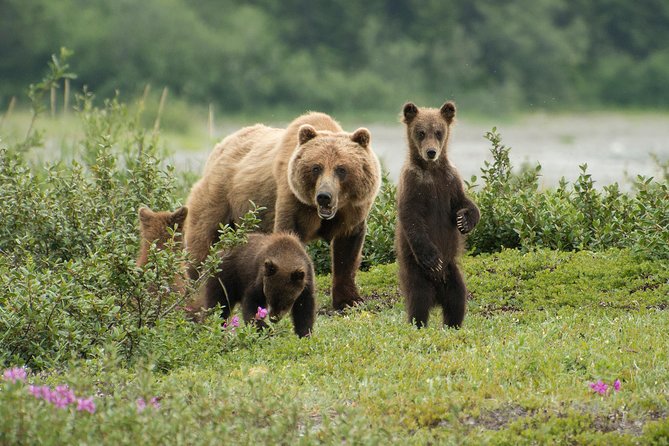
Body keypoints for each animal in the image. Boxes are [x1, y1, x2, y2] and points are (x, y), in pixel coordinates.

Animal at [183, 112, 381, 310]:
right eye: (316, 167)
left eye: (341, 169)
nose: (324, 196)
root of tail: (221, 146)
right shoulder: (293, 199)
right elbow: (289, 238)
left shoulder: (352, 210)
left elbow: (347, 250)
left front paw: (349, 300)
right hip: (220, 198)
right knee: (202, 242)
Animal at [394, 101, 480, 329]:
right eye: (421, 132)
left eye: (439, 132)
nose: (431, 152)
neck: (431, 170)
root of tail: (437, 295)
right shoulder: (413, 185)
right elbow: (412, 219)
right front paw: (433, 259)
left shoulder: (449, 181)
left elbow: (464, 202)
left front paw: (464, 220)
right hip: (416, 271)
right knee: (419, 299)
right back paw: (419, 323)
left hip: (453, 272)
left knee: (458, 298)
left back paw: (453, 324)